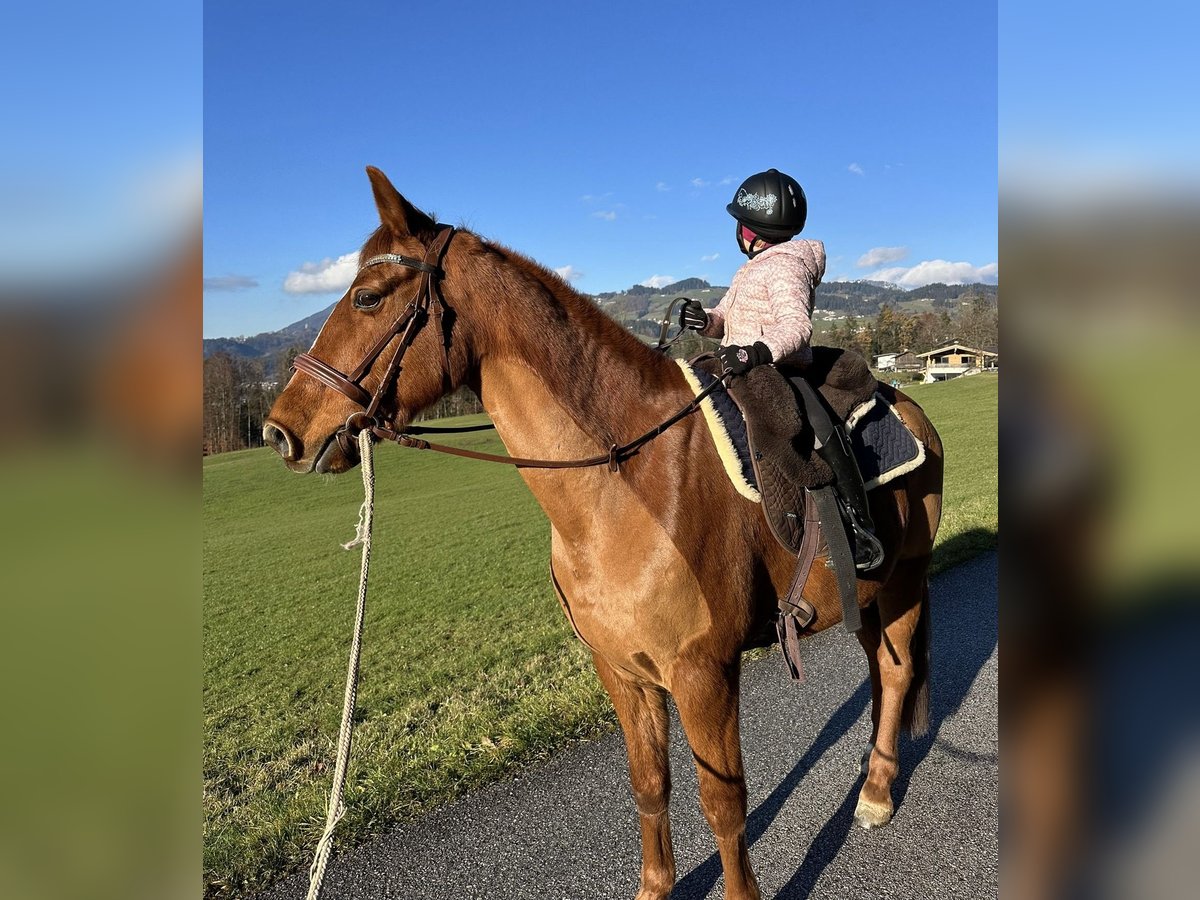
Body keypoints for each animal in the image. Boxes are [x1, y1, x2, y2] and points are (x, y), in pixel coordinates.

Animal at [265, 169, 945, 900]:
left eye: (367, 298)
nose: (280, 431)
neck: (623, 483)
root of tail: (909, 404)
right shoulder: (621, 671)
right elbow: (650, 786)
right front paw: (655, 886)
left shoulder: (703, 674)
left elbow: (723, 804)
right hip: (869, 596)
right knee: (880, 670)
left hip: (904, 585)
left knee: (898, 675)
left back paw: (876, 793)